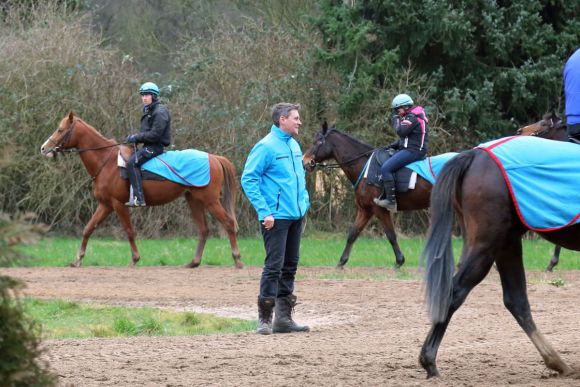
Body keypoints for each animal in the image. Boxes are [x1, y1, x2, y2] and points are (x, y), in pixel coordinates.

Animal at [39, 112, 242, 270]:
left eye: (60, 129)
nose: (44, 148)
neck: (106, 161)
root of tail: (213, 157)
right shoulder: (105, 205)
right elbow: (88, 228)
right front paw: (77, 260)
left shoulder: (118, 205)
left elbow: (129, 231)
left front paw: (134, 260)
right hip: (194, 200)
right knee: (203, 229)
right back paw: (194, 262)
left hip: (210, 201)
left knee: (228, 223)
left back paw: (237, 260)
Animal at [302, 124, 432, 270]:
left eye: (318, 142)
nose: (304, 161)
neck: (365, 167)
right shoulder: (365, 210)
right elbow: (352, 234)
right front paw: (341, 262)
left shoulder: (379, 210)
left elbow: (391, 235)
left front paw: (399, 261)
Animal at [420, 142, 580, 378]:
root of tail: (475, 154)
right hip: (487, 245)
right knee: (455, 292)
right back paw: (429, 361)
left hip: (506, 243)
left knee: (516, 300)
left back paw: (557, 362)